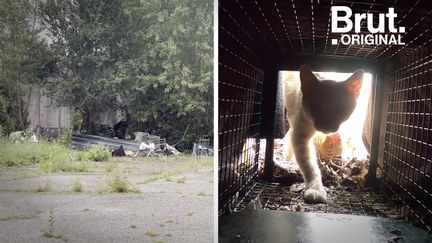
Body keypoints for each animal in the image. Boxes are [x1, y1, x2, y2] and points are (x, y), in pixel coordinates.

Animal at [284, 65, 362, 203]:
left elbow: (346, 147)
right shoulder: (300, 136)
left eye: (340, 109)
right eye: (316, 107)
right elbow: (310, 167)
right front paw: (316, 190)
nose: (327, 126)